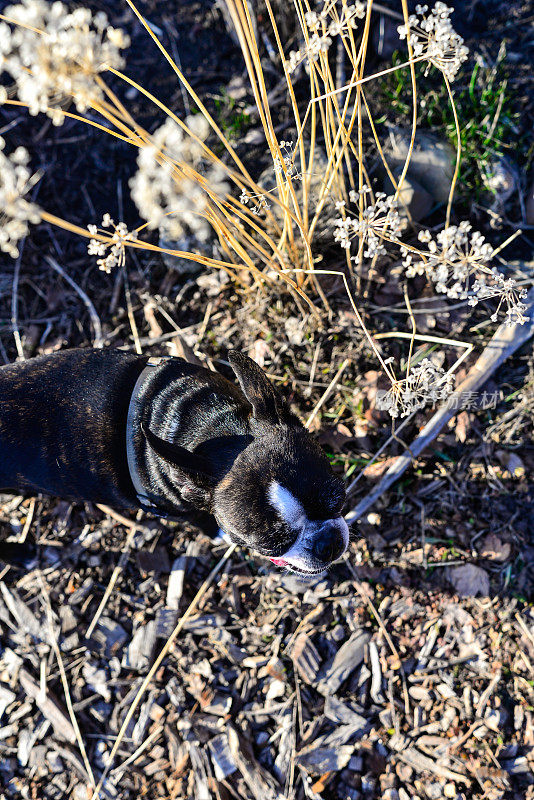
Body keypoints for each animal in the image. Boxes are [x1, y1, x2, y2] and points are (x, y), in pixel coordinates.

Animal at [0, 350, 350, 576]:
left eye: (339, 496)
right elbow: (199, 519)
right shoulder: (174, 509)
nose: (327, 544)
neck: (208, 426)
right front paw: (217, 533)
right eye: (270, 544)